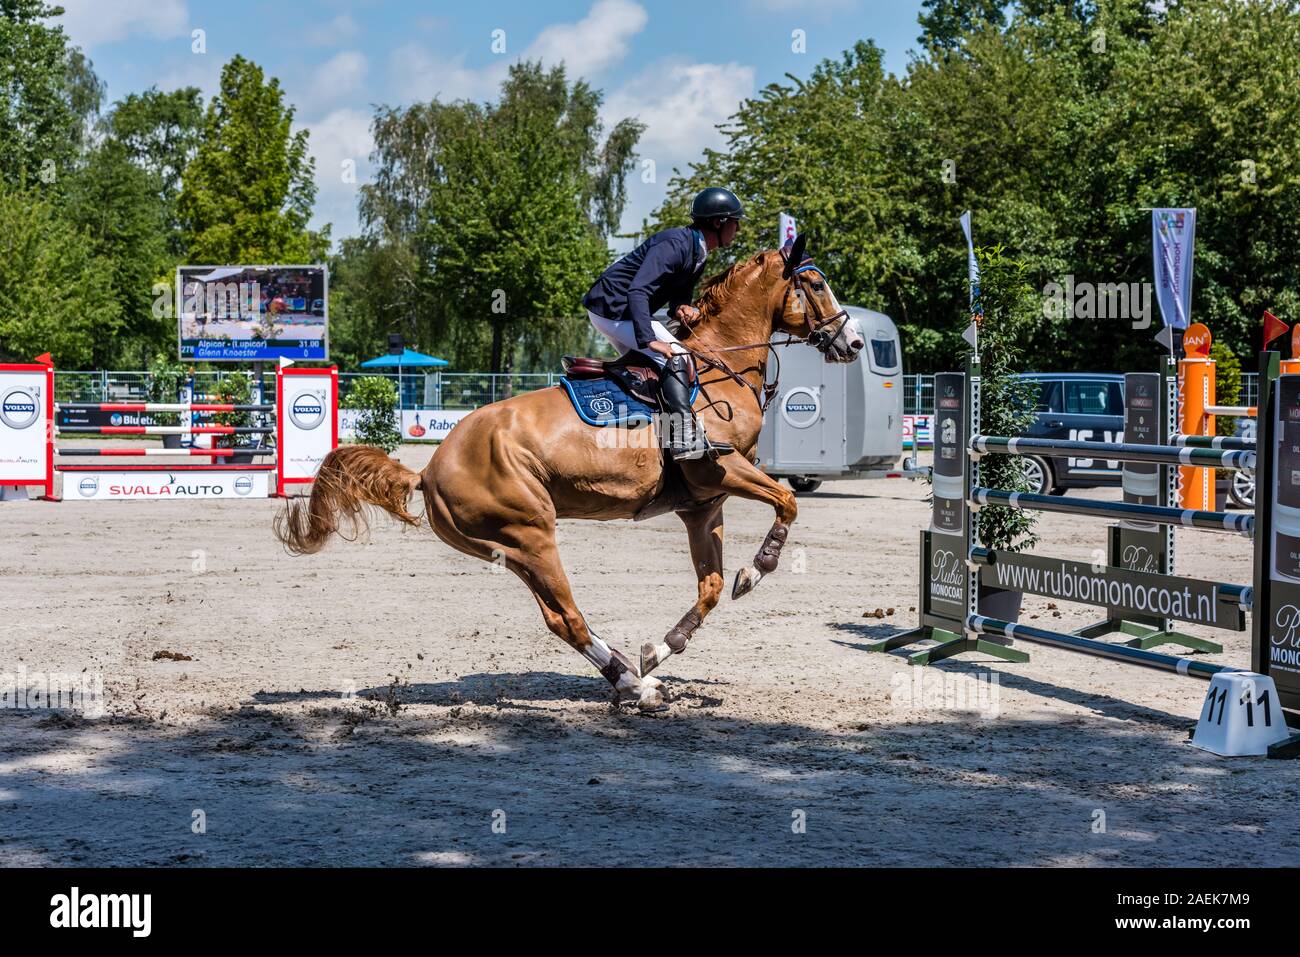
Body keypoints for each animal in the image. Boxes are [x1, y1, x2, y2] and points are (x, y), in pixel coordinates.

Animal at [274, 240, 863, 712]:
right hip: (533, 534)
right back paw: (636, 689)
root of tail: (430, 468)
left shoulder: (703, 503)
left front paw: (662, 648)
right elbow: (787, 502)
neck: (722, 365)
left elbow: (712, 588)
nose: (852, 343)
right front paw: (758, 569)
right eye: (816, 283)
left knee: (558, 616)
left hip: (508, 548)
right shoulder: (724, 469)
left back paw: (630, 674)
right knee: (568, 617)